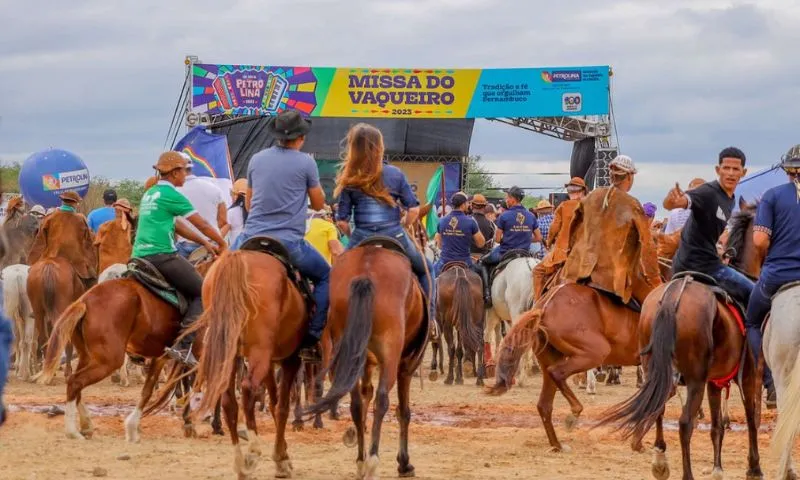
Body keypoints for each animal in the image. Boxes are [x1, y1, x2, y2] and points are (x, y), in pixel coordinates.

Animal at [304, 244, 432, 480]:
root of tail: (366, 272)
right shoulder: (405, 366)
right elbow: (403, 411)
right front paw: (404, 463)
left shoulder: (366, 364)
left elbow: (364, 398)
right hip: (390, 354)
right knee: (381, 400)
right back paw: (372, 461)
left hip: (348, 351)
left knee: (355, 404)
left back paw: (361, 461)